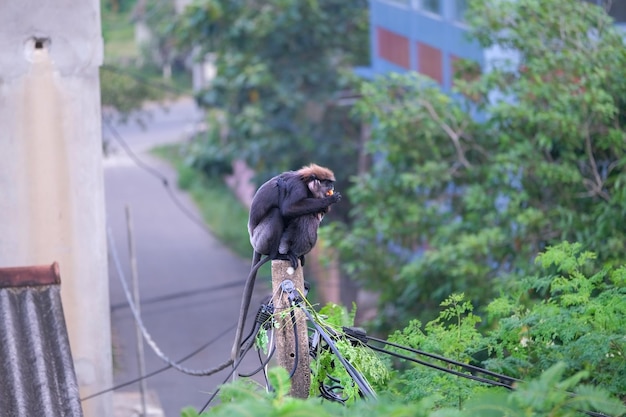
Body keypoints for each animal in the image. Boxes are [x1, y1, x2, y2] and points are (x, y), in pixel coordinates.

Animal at [232, 163, 342, 360]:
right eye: (327, 183)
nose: (332, 188)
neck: (307, 184)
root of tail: (253, 241)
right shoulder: (298, 188)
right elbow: (288, 209)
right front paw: (330, 201)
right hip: (262, 238)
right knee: (281, 213)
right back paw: (279, 254)